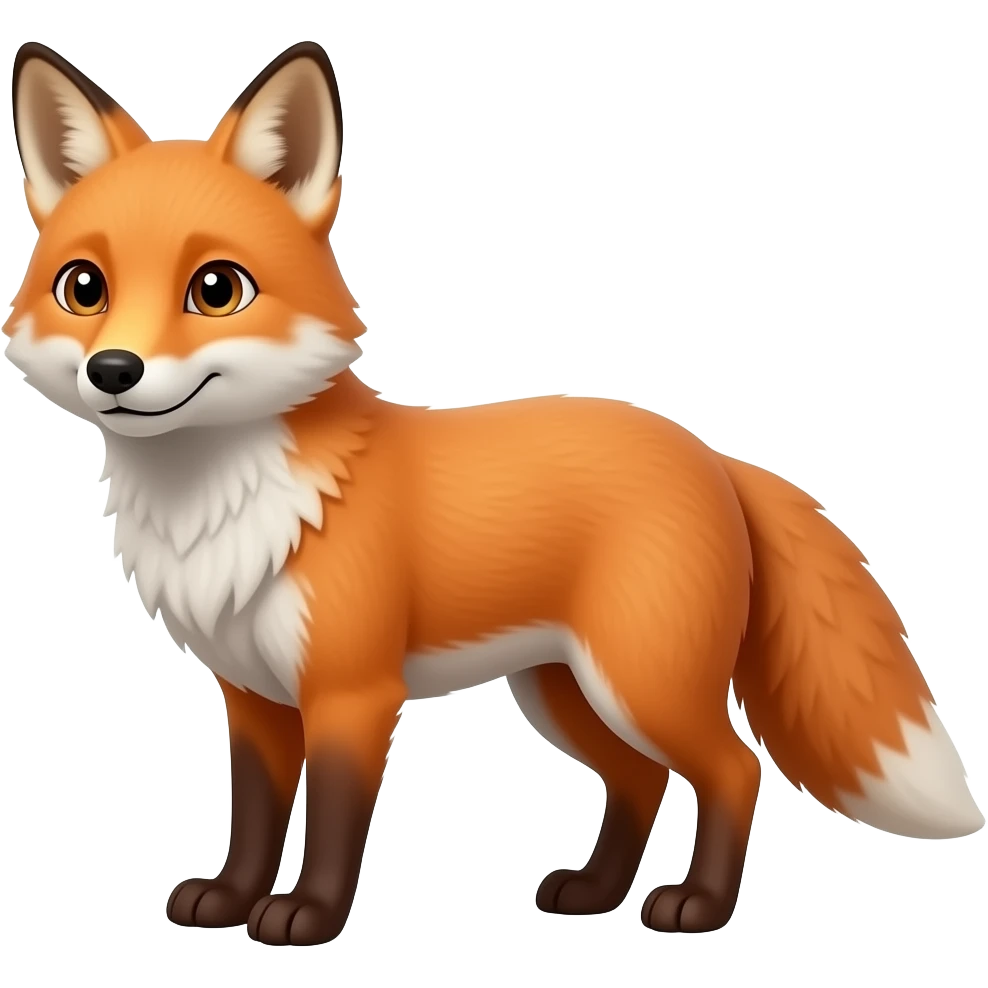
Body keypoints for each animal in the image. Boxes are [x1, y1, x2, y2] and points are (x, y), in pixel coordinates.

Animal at [4, 40, 983, 946]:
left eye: (216, 289)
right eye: (84, 288)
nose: (114, 371)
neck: (226, 504)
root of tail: (712, 455)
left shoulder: (353, 693)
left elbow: (334, 822)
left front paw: (308, 917)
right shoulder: (252, 698)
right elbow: (252, 817)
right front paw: (230, 900)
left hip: (640, 682)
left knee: (735, 770)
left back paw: (697, 907)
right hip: (562, 691)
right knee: (642, 778)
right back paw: (594, 893)